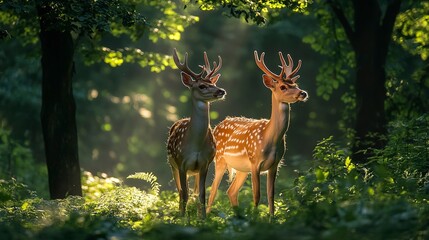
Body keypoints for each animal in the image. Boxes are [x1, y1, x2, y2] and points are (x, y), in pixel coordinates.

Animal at [166, 47, 226, 218]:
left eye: (214, 82)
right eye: (201, 86)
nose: (221, 91)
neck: (196, 145)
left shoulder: (205, 164)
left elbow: (202, 195)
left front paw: (203, 219)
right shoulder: (181, 163)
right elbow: (184, 194)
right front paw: (183, 219)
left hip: (196, 171)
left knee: (194, 192)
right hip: (172, 165)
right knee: (181, 192)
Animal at [206, 50, 308, 218]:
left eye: (296, 85)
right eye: (282, 86)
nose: (303, 93)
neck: (269, 138)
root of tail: (217, 126)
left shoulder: (275, 164)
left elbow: (271, 195)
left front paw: (271, 219)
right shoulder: (255, 162)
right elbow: (257, 195)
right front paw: (255, 218)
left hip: (241, 169)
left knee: (231, 191)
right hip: (220, 159)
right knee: (213, 191)